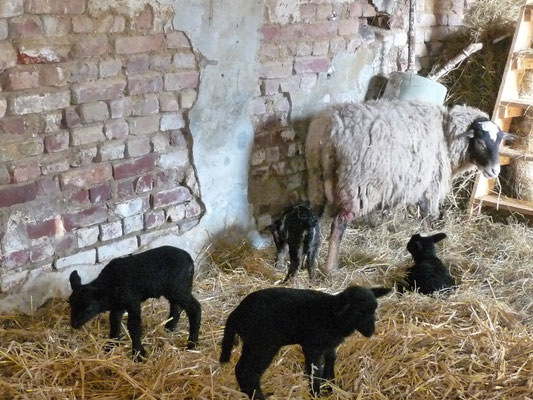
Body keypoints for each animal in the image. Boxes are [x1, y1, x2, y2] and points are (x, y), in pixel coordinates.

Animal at [66, 245, 200, 360]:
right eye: (70, 303)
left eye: (89, 306)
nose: (74, 324)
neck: (111, 286)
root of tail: (190, 260)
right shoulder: (118, 305)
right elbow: (114, 321)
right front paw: (111, 345)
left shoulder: (132, 301)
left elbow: (133, 325)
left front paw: (138, 354)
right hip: (176, 288)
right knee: (176, 305)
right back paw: (170, 327)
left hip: (178, 287)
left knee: (195, 308)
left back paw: (192, 343)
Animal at [218, 286, 388, 398]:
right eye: (359, 311)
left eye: (374, 309)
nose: (371, 331)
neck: (333, 316)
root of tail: (235, 314)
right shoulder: (312, 346)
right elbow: (314, 370)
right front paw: (316, 393)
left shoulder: (329, 345)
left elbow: (330, 361)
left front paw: (330, 386)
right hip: (263, 345)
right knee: (248, 373)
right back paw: (259, 397)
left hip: (251, 344)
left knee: (240, 370)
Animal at [306, 99, 512, 272]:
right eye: (480, 142)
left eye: (499, 141)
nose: (495, 171)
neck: (445, 134)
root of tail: (331, 133)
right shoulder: (430, 188)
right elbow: (427, 219)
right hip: (358, 186)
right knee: (338, 225)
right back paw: (331, 269)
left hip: (316, 180)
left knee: (314, 217)